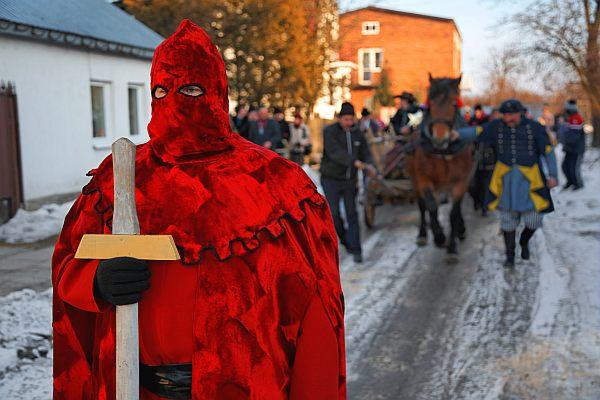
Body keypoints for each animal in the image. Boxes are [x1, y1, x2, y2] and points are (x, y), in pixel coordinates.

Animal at [406, 75, 476, 256]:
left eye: (454, 103)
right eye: (430, 104)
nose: (439, 139)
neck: (444, 153)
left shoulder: (462, 181)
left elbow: (454, 212)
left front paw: (452, 243)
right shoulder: (423, 179)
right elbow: (431, 206)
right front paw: (439, 236)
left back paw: (460, 230)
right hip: (416, 180)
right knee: (423, 205)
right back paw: (424, 233)